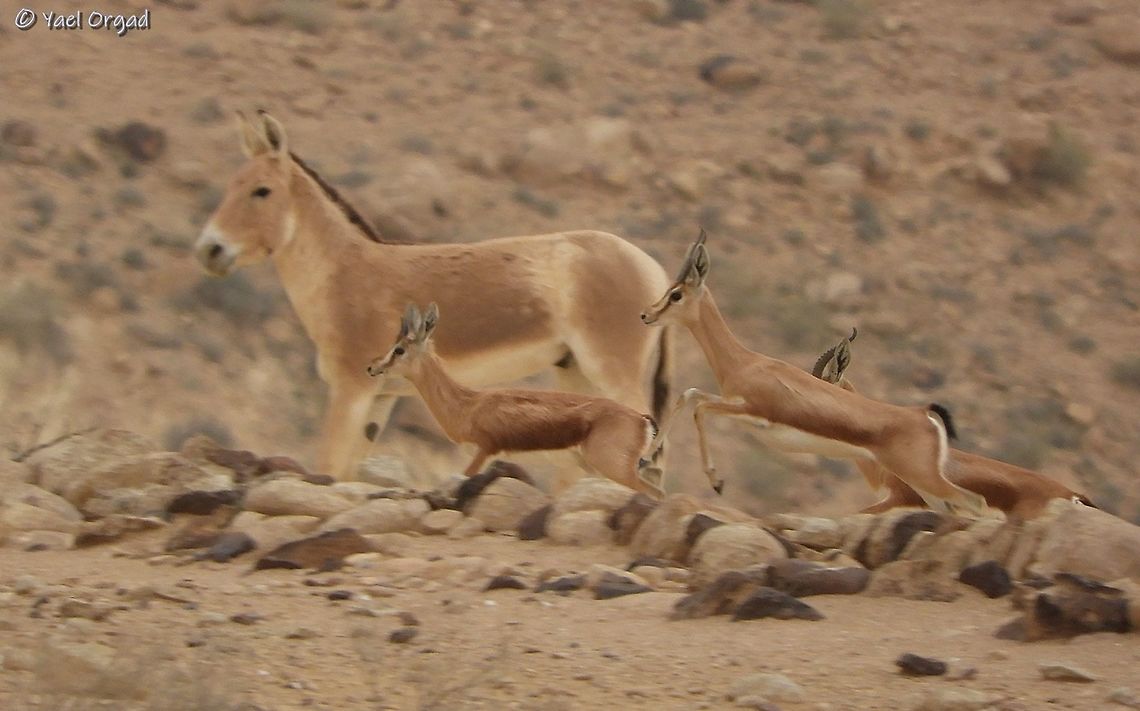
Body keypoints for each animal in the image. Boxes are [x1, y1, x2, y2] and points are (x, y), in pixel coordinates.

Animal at [366, 303, 664, 497]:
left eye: (399, 349)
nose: (372, 367)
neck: (468, 405)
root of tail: (642, 420)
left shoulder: (484, 451)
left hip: (616, 469)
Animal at [639, 229, 989, 518]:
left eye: (676, 294)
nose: (646, 314)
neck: (745, 362)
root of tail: (925, 415)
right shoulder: (733, 404)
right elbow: (689, 395)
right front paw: (644, 460)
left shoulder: (753, 412)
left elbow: (699, 407)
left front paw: (716, 482)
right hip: (925, 488)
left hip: (924, 478)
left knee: (977, 503)